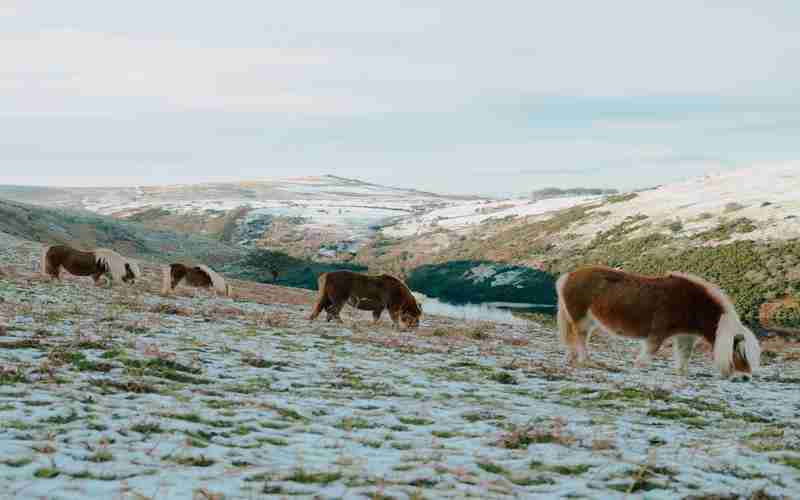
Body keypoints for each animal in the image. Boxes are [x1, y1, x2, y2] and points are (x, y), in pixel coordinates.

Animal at [556, 266, 764, 378]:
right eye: (739, 353)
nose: (746, 378)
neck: (692, 303)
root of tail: (568, 276)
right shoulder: (658, 334)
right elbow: (648, 355)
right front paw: (638, 369)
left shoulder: (685, 337)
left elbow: (684, 357)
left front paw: (681, 375)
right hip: (581, 320)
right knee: (580, 339)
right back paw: (585, 361)